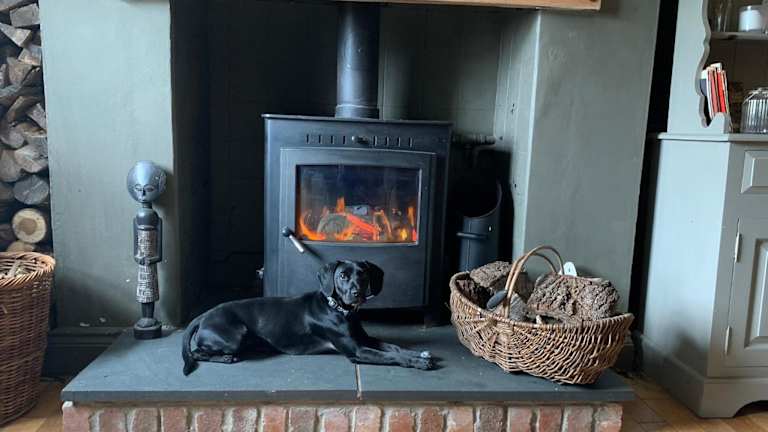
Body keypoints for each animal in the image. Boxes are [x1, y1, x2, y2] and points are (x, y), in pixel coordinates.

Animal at [182, 260, 434, 375]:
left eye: (362, 275)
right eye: (342, 276)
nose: (357, 293)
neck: (338, 309)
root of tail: (203, 315)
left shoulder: (363, 339)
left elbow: (394, 347)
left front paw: (418, 354)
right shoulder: (357, 350)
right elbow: (390, 356)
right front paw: (417, 363)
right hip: (234, 335)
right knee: (196, 352)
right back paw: (225, 358)